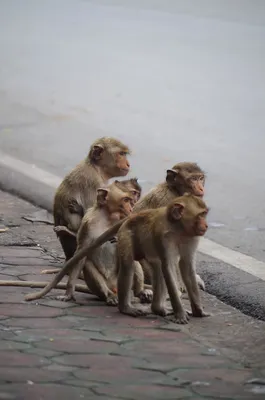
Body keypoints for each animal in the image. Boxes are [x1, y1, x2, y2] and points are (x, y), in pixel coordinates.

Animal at [116, 194, 209, 324]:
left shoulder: (192, 237)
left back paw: (158, 309)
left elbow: (187, 266)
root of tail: (129, 218)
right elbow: (168, 267)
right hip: (125, 235)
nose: (206, 225)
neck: (179, 229)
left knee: (158, 269)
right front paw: (180, 314)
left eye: (204, 214)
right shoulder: (164, 237)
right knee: (128, 266)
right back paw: (125, 308)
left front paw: (198, 310)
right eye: (201, 215)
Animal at [133, 161, 205, 292]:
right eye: (193, 179)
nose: (201, 188)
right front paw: (181, 284)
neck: (176, 191)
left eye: (200, 178)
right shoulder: (167, 203)